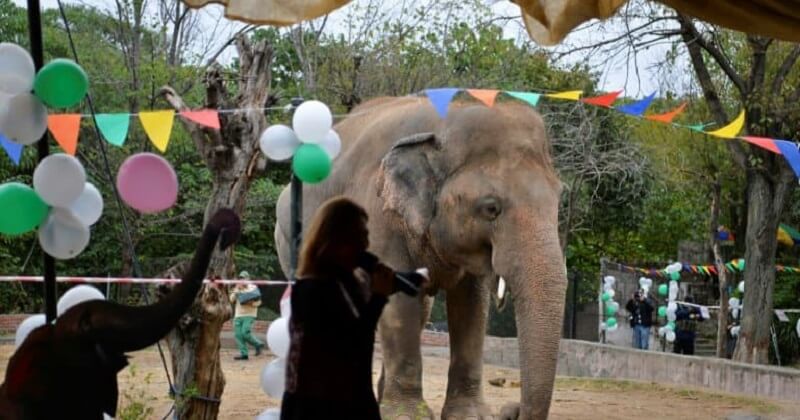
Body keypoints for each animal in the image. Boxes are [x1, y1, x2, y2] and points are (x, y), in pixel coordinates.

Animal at [278, 97, 564, 418]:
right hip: (288, 241)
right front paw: (405, 415)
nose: (510, 410)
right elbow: (399, 300)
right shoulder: (378, 213)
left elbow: (471, 304)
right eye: (491, 208)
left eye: (559, 200)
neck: (444, 120)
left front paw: (468, 415)